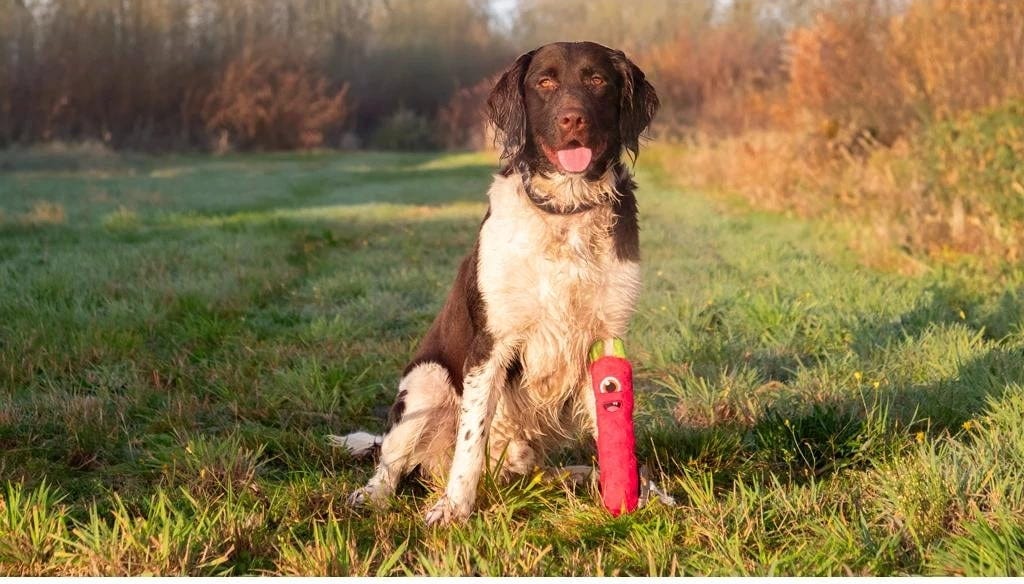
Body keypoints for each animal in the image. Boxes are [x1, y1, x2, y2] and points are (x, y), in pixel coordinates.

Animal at [332, 41, 658, 525]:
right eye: (545, 82)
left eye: (598, 80)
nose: (573, 119)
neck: (565, 211)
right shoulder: (491, 343)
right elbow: (470, 444)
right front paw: (453, 510)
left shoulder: (603, 341)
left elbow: (611, 428)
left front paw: (629, 492)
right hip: (426, 381)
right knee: (391, 462)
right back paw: (372, 495)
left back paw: (576, 475)